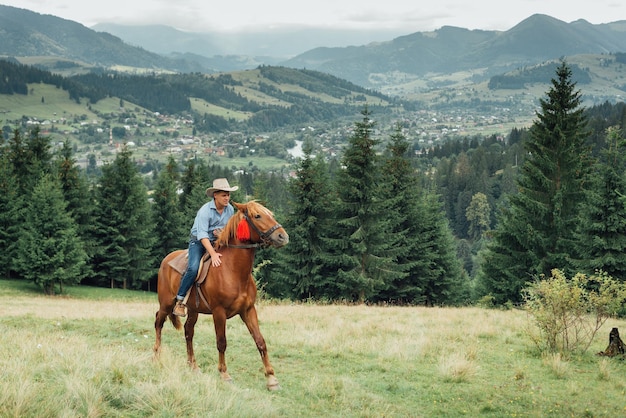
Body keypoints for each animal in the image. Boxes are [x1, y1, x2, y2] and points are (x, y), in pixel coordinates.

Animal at [152, 201, 288, 390]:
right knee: (159, 322)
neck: (233, 270)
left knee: (188, 331)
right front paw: (224, 374)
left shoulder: (248, 310)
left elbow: (260, 341)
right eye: (257, 216)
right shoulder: (219, 312)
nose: (282, 236)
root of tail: (166, 260)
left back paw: (193, 365)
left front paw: (271, 379)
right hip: (166, 303)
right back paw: (157, 355)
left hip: (193, 309)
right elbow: (221, 342)